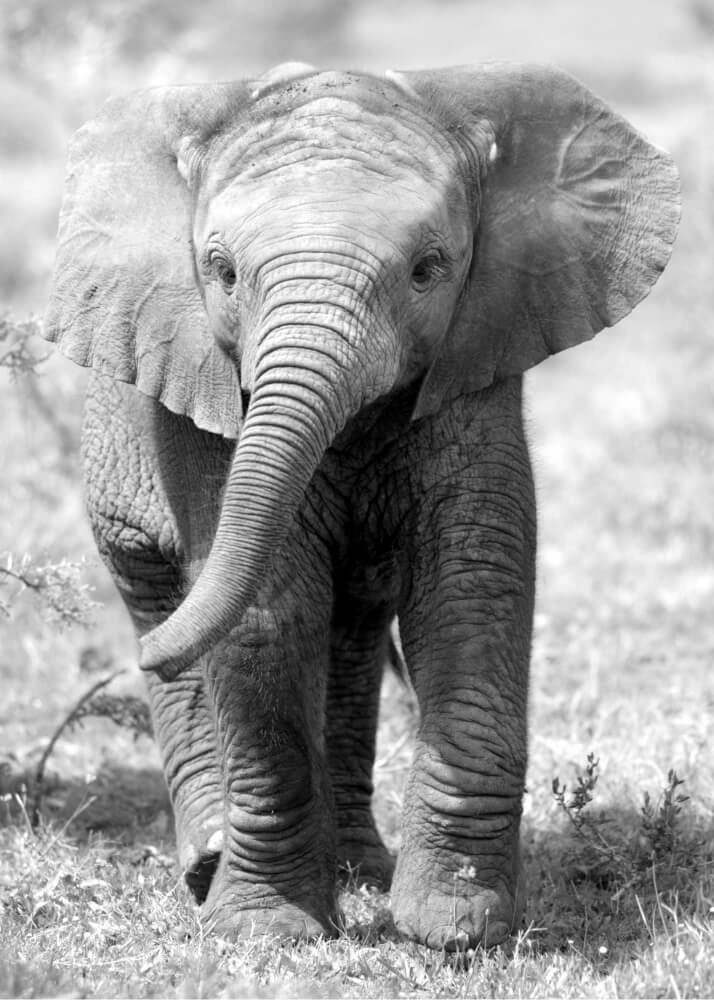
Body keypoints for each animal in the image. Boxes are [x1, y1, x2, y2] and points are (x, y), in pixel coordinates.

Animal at [43, 64, 680, 952]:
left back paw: (358, 870)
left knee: (348, 630)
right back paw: (210, 860)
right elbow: (267, 604)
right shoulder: (204, 392)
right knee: (162, 591)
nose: (143, 661)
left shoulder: (475, 358)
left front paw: (452, 926)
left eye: (429, 268)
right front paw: (268, 934)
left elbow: (471, 578)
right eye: (221, 271)